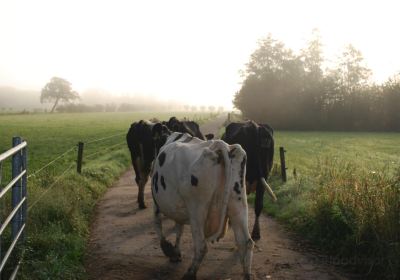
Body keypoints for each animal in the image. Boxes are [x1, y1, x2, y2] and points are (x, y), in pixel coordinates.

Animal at [151, 133, 253, 280]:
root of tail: (220, 145)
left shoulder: (156, 202)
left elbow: (158, 224)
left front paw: (169, 250)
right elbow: (179, 229)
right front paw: (176, 252)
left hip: (196, 209)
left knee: (201, 246)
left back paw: (190, 273)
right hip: (238, 202)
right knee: (246, 242)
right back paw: (247, 274)